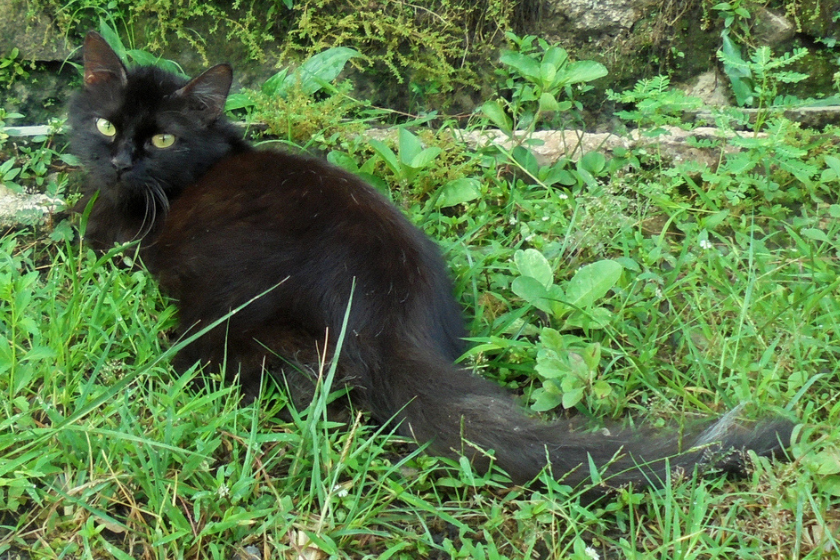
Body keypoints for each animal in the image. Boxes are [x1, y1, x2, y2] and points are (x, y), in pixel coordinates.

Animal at [69, 31, 792, 494]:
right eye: (106, 125)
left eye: (163, 139)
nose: (120, 162)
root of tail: (389, 311)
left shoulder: (116, 238)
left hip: (220, 317)